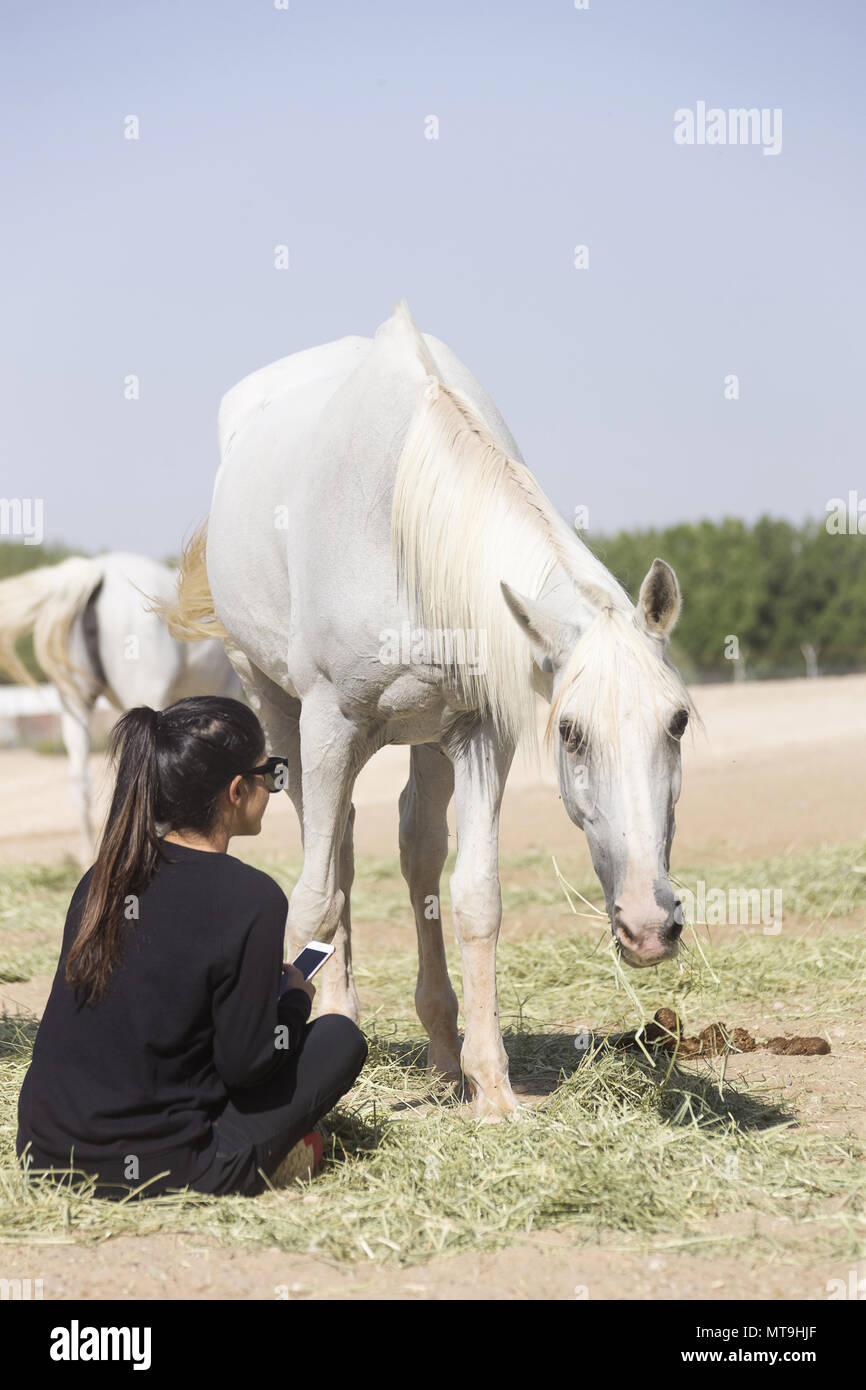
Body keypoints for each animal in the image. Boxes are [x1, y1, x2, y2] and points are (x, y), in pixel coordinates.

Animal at [166, 301, 697, 1117]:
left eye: (678, 722)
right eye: (570, 732)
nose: (649, 926)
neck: (403, 521)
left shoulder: (478, 734)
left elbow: (475, 897)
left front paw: (494, 1089)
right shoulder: (329, 724)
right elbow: (315, 897)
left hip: (424, 740)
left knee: (413, 848)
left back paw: (446, 1056)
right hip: (278, 706)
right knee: (333, 854)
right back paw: (343, 1017)